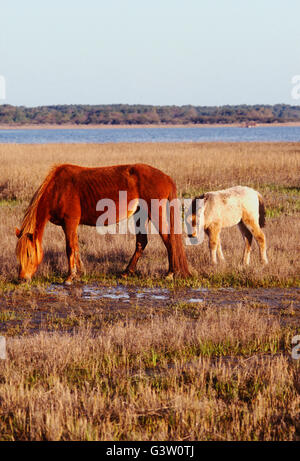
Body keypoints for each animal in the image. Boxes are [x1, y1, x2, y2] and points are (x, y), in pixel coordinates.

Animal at [15, 164, 190, 282]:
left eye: (29, 254)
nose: (22, 278)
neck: (58, 189)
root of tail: (166, 177)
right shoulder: (71, 225)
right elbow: (76, 247)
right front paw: (80, 272)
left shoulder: (69, 222)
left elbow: (70, 248)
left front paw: (70, 277)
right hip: (141, 214)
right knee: (142, 242)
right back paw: (127, 272)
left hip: (155, 213)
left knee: (168, 240)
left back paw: (170, 273)